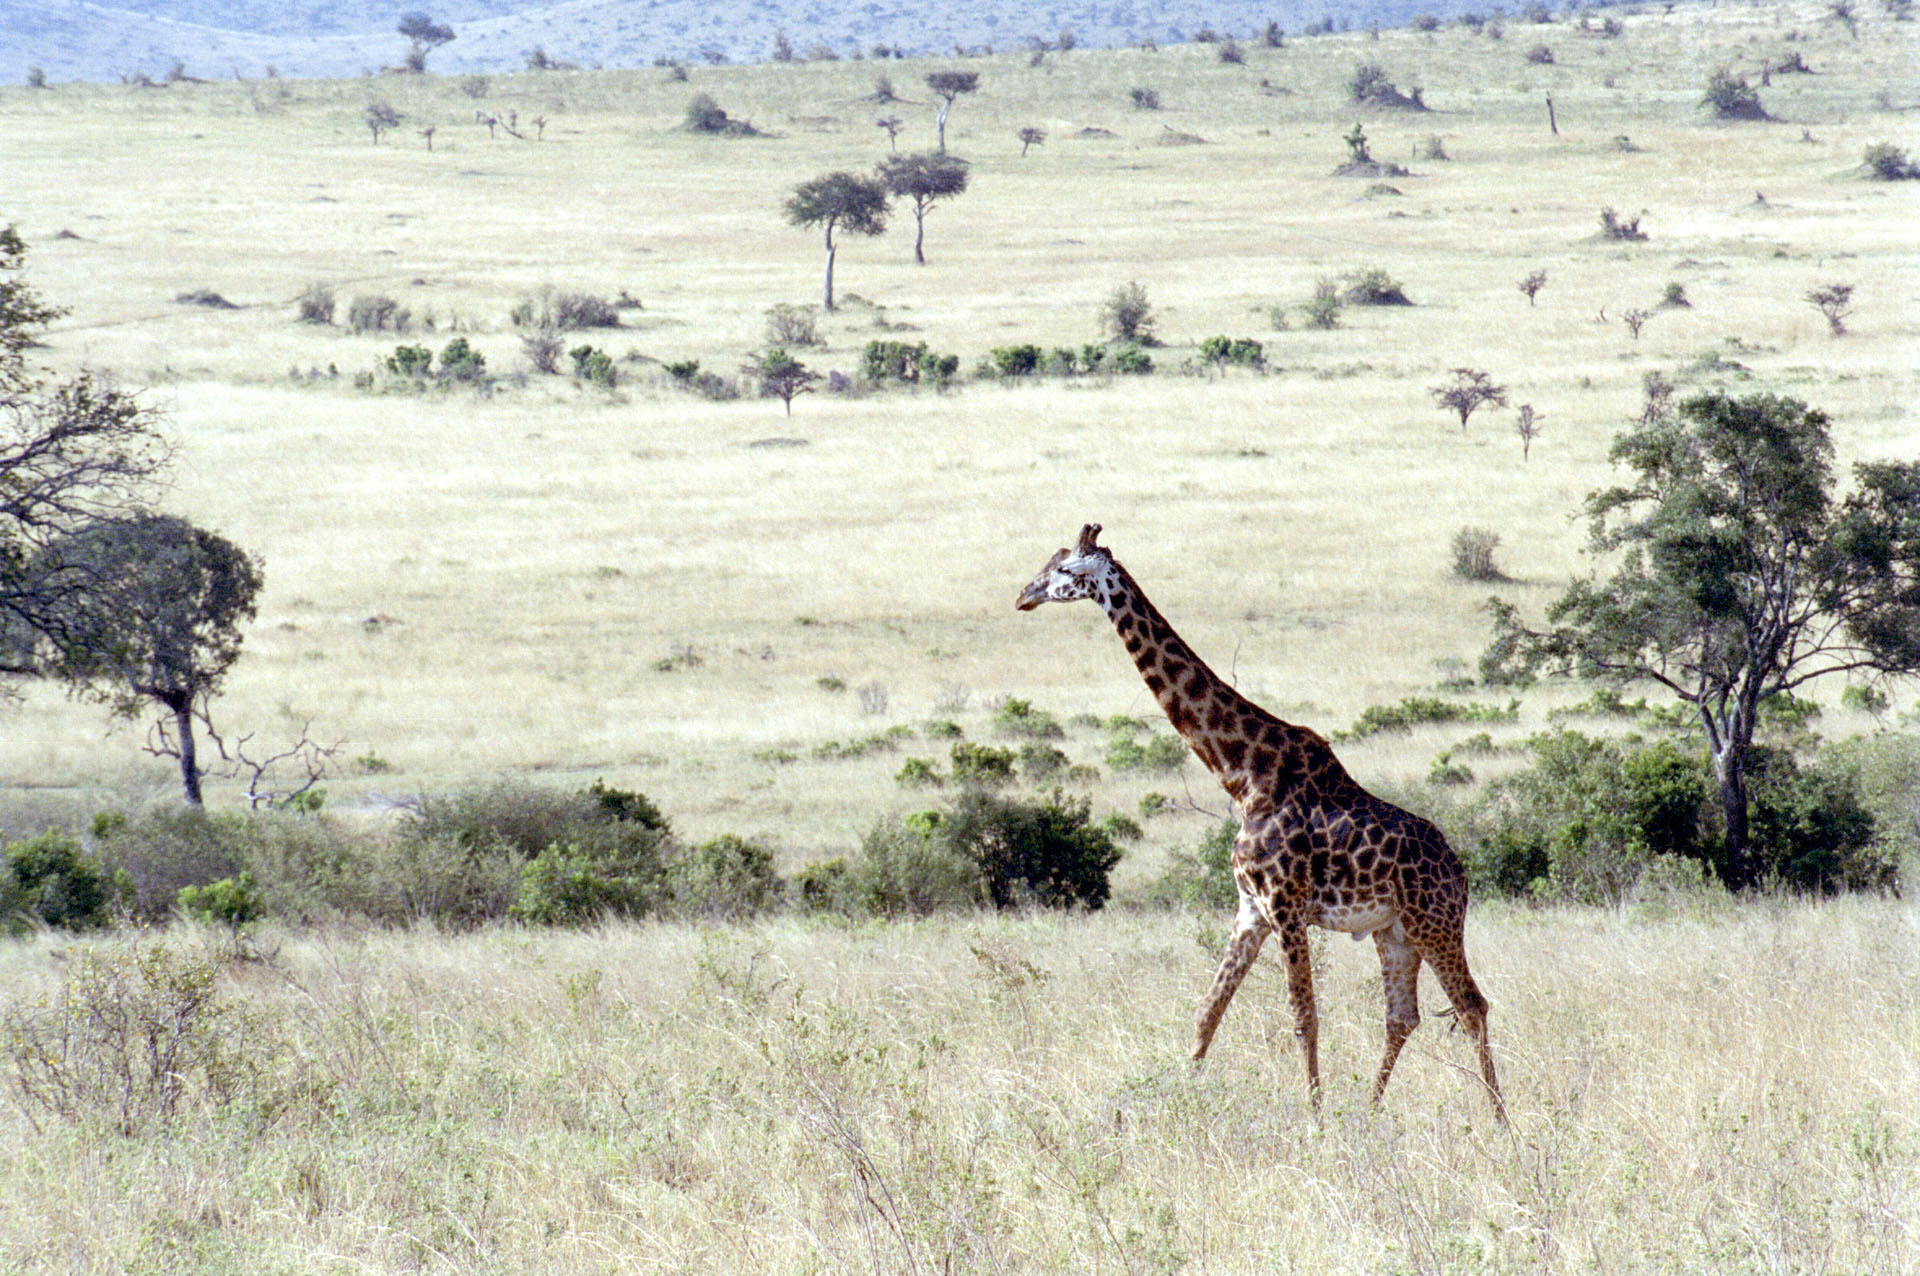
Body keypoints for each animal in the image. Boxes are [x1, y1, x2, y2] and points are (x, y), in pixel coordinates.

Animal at [1013, 521, 1505, 1120]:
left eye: (1064, 570)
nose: (1023, 596)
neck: (1243, 775)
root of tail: (1461, 872)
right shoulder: (1251, 908)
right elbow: (1206, 1015)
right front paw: (1178, 1101)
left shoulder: (1285, 905)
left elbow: (1303, 1019)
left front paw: (1316, 1121)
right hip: (1394, 930)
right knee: (1402, 1016)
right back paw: (1369, 1112)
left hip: (1434, 923)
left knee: (1472, 1006)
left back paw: (1500, 1122)